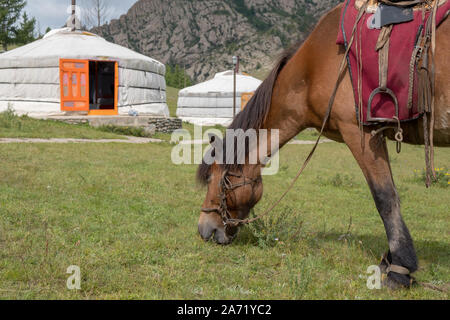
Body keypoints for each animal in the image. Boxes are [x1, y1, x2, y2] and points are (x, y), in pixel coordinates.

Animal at [195, 2, 448, 288]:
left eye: (214, 179)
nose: (204, 228)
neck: (312, 68)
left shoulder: (360, 133)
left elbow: (385, 197)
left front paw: (399, 270)